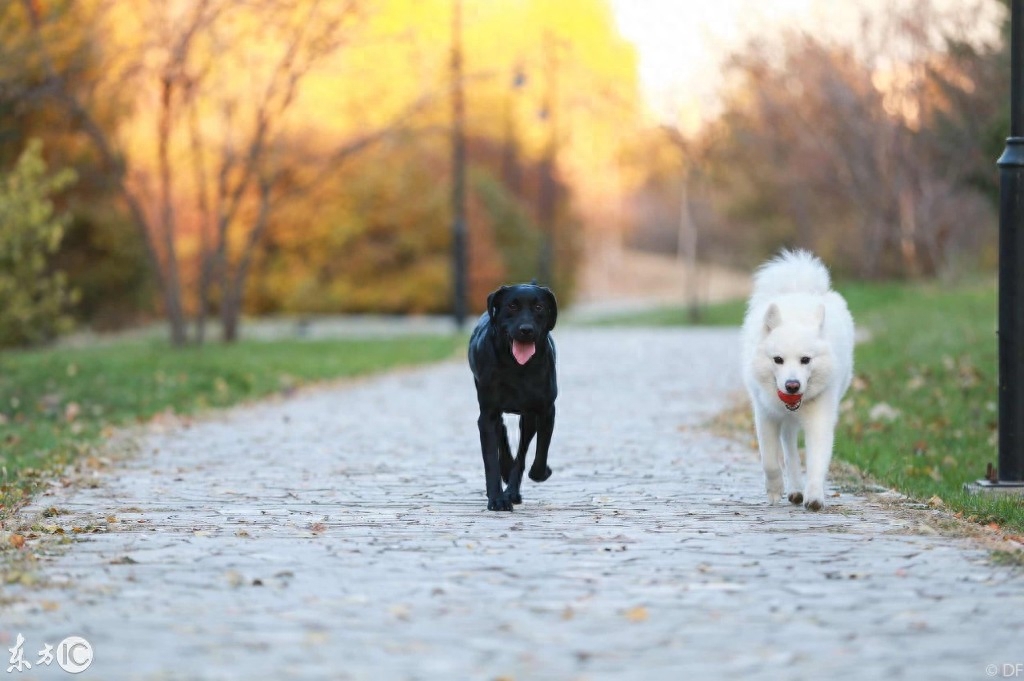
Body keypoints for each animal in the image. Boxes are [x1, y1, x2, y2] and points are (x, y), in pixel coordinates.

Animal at [468, 280, 557, 509]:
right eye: (512, 306)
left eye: (539, 307)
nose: (526, 330)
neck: (518, 367)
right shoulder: (488, 414)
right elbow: (491, 459)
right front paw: (497, 499)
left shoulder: (546, 411)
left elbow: (539, 452)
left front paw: (540, 472)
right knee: (501, 431)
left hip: (529, 418)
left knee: (522, 453)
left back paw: (513, 490)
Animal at [741, 249, 851, 509]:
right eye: (778, 360)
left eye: (805, 360)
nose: (792, 386)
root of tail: (798, 290)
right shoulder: (766, 416)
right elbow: (770, 461)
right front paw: (774, 491)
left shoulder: (821, 418)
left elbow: (817, 461)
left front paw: (815, 496)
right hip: (785, 424)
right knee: (789, 450)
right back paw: (793, 488)